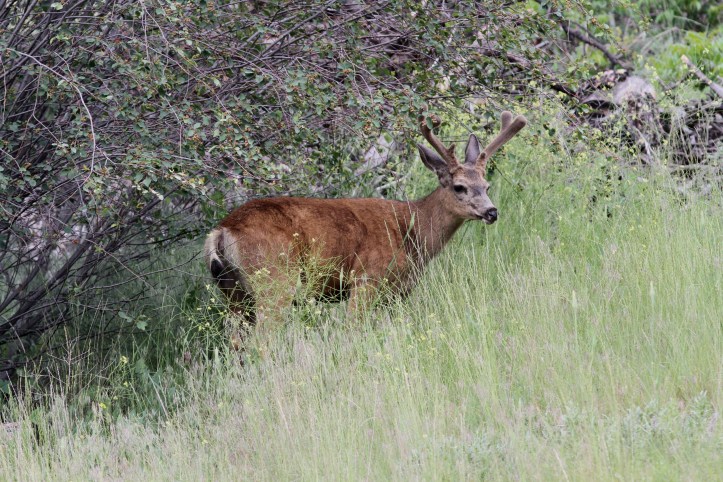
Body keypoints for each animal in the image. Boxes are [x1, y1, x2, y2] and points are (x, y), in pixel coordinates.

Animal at [204, 112, 526, 325]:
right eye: (460, 187)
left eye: (486, 185)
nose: (491, 212)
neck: (412, 232)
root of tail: (222, 230)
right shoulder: (367, 279)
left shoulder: (395, 293)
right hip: (274, 280)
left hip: (233, 292)